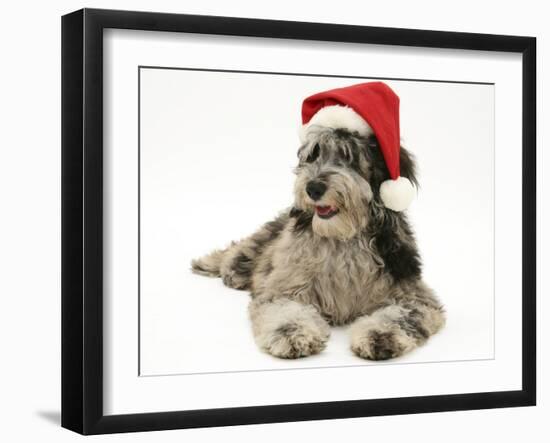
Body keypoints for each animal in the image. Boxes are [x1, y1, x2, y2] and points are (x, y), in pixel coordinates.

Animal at [192, 82, 446, 360]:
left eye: (348, 156)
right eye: (313, 155)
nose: (313, 188)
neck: (342, 237)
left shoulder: (414, 295)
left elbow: (399, 316)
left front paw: (379, 335)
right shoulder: (284, 287)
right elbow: (286, 310)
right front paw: (294, 335)